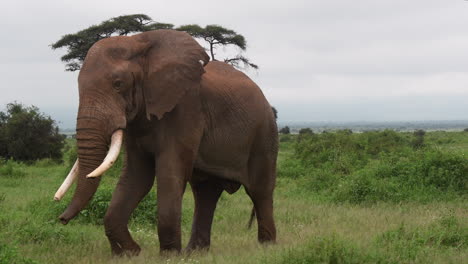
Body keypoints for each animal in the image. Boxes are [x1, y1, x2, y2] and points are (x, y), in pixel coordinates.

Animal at [54, 29, 278, 256]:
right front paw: (130, 253)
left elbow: (170, 172)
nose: (61, 219)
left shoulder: (186, 108)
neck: (139, 42)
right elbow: (137, 176)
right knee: (205, 192)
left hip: (265, 134)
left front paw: (169, 256)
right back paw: (195, 253)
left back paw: (267, 248)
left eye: (118, 84)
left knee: (260, 190)